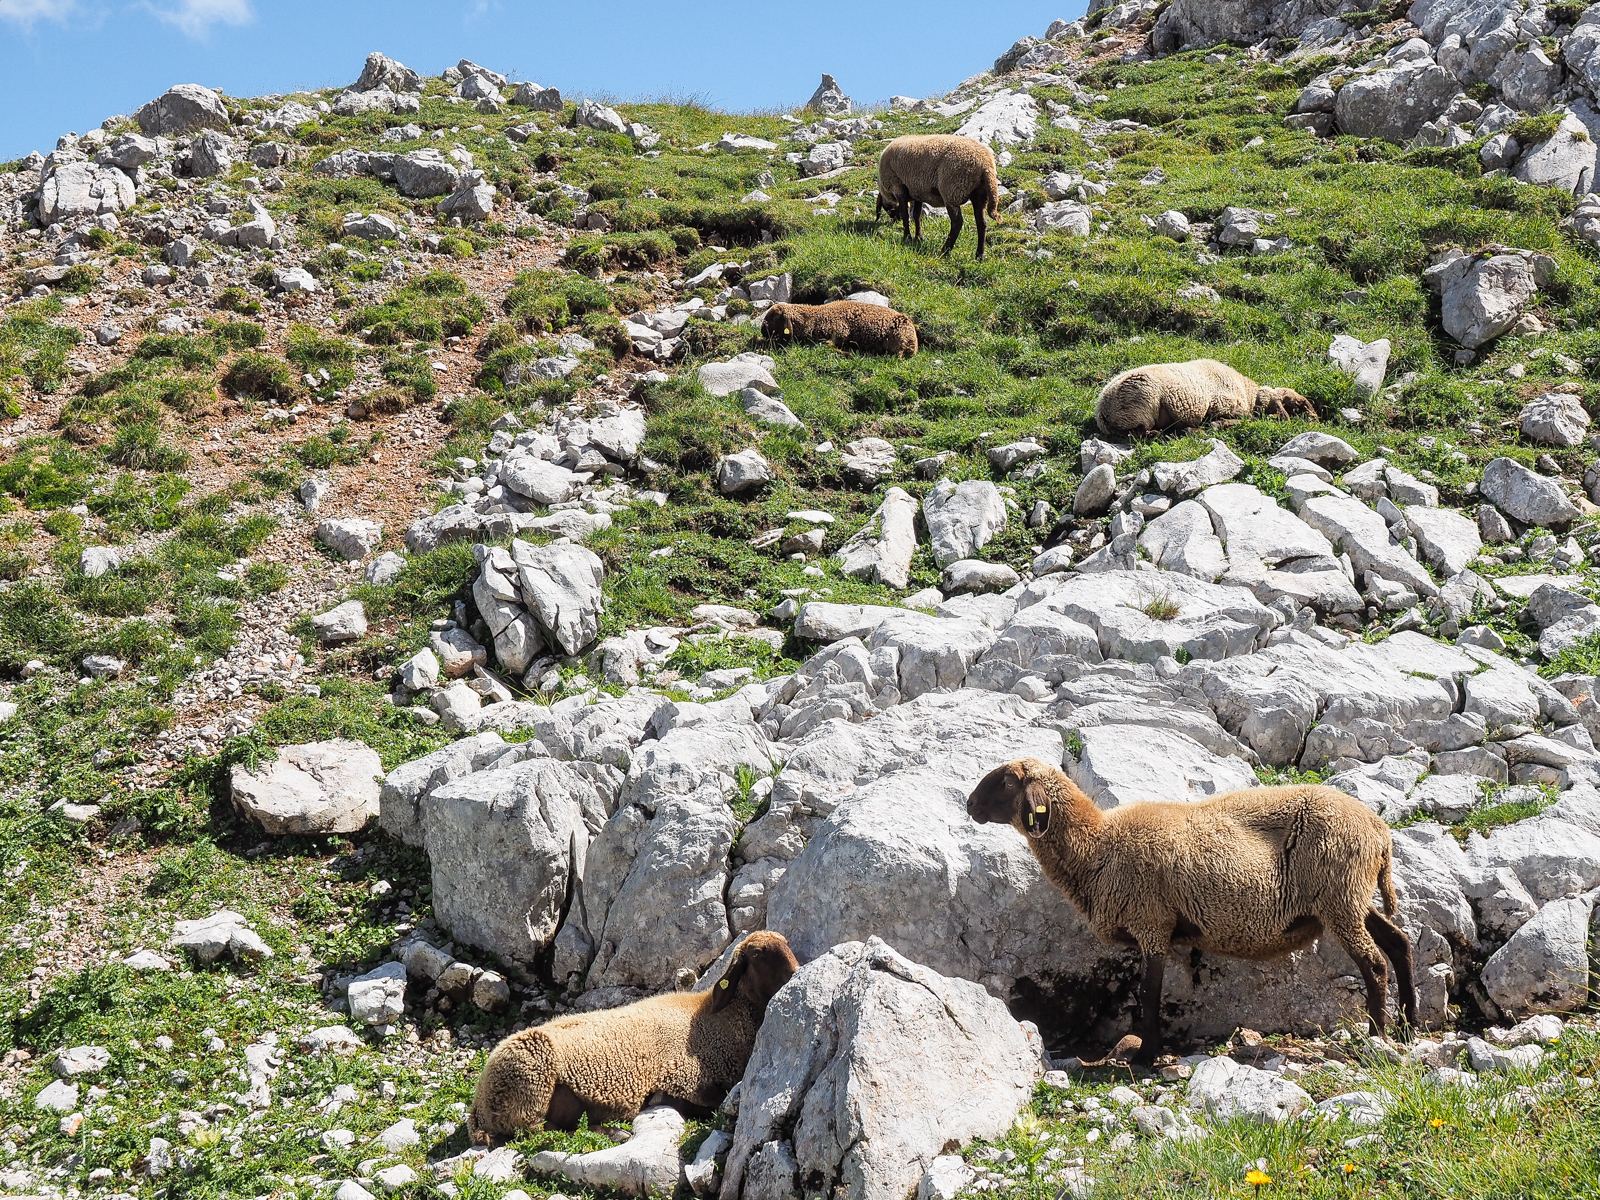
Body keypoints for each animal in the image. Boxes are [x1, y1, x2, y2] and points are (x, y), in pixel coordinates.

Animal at [466, 931, 798, 1144]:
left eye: (786, 944)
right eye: (757, 955)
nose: (796, 973)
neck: (717, 1019)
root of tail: (478, 1107)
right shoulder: (683, 1075)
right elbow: (708, 1102)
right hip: (530, 1082)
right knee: (535, 1131)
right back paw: (614, 1132)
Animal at [760, 301, 919, 357]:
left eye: (773, 317)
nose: (762, 330)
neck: (812, 319)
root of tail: (914, 343)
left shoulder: (839, 330)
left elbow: (828, 344)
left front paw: (849, 353)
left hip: (899, 338)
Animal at [967, 759, 1417, 1062]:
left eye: (1007, 781)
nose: (969, 804)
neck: (1096, 846)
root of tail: (1379, 830)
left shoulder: (1152, 922)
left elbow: (1149, 993)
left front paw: (1145, 1056)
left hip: (1338, 896)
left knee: (1374, 963)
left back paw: (1377, 1035)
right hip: (1350, 898)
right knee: (1399, 943)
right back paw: (1409, 1026)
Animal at [1094, 359, 1316, 437]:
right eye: (1298, 406)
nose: (1316, 421)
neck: (1248, 393)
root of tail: (1102, 412)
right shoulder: (1222, 404)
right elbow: (1244, 419)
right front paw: (1218, 425)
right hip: (1144, 403)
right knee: (1141, 433)